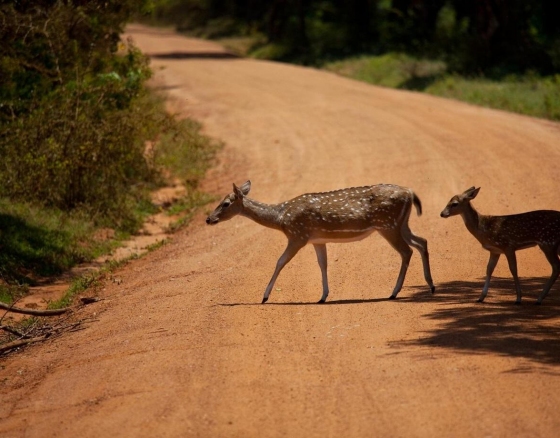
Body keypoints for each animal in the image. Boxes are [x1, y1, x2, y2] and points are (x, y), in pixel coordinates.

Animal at [208, 180, 436, 302]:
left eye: (225, 203)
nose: (208, 219)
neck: (281, 218)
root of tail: (410, 193)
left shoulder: (298, 235)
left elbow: (280, 261)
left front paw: (264, 297)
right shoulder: (317, 240)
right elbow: (322, 264)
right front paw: (323, 296)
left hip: (387, 225)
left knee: (407, 251)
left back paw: (394, 292)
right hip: (400, 224)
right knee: (422, 242)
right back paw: (431, 286)